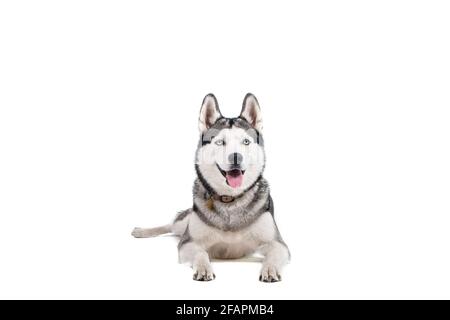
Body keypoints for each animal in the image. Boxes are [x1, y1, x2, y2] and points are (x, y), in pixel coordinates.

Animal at [132, 93, 290, 282]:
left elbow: (274, 253)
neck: (230, 200)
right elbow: (201, 253)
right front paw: (203, 268)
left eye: (246, 141)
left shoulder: (278, 243)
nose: (235, 157)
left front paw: (270, 269)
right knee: (172, 225)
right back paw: (142, 231)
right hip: (185, 223)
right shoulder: (188, 242)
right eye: (220, 142)